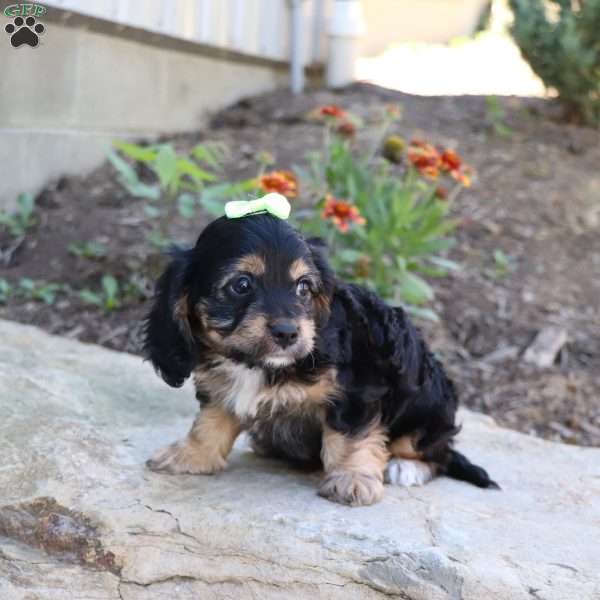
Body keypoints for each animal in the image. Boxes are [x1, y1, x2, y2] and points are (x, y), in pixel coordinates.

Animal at [145, 213, 496, 504]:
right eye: (241, 285)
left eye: (303, 287)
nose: (288, 333)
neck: (257, 364)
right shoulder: (220, 386)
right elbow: (210, 421)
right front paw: (191, 455)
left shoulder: (358, 389)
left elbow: (351, 435)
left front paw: (352, 479)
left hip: (428, 405)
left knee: (438, 452)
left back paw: (405, 468)